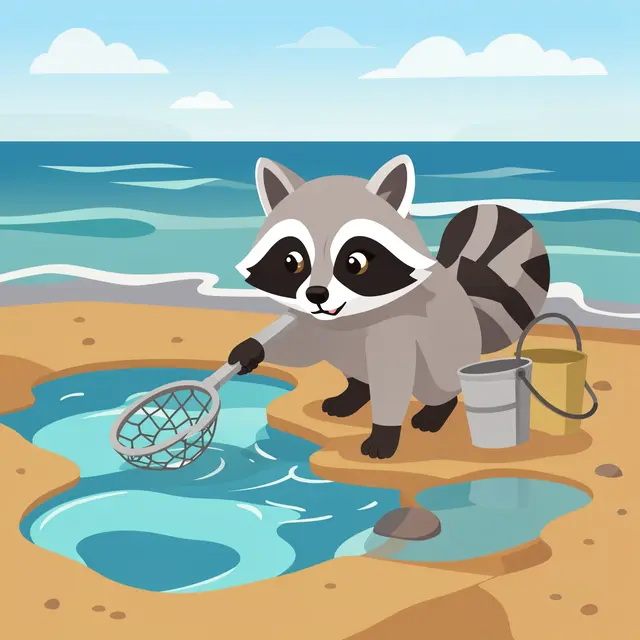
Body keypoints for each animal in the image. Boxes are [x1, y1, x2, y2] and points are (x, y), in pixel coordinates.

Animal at [228, 155, 550, 459]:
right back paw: (355, 392)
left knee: (438, 383)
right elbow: (299, 344)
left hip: (445, 352)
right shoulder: (315, 323)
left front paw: (384, 433)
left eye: (355, 262)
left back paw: (436, 409)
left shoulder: (399, 326)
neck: (349, 316)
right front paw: (252, 349)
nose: (316, 294)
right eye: (291, 261)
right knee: (352, 366)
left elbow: (392, 375)